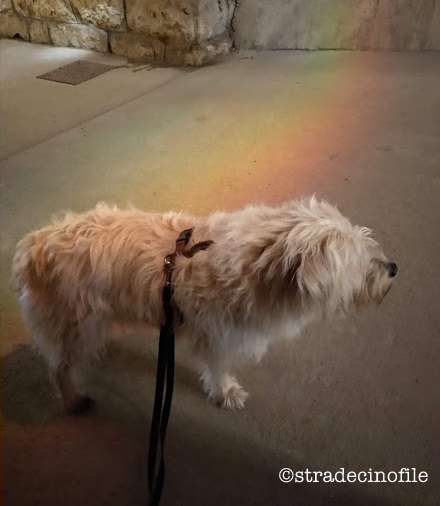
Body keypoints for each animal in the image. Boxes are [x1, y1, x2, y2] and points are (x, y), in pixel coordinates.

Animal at [11, 198, 398, 412]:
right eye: (358, 260)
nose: (393, 268)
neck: (258, 266)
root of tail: (32, 247)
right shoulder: (218, 336)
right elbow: (218, 367)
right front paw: (225, 392)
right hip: (74, 323)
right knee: (58, 366)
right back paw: (72, 398)